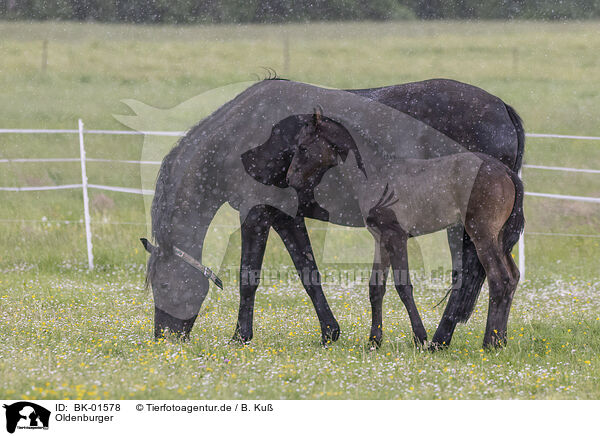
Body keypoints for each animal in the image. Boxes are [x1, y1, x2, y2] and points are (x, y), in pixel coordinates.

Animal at [288, 110, 524, 350]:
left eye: (303, 147)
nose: (290, 179)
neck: (378, 174)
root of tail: (506, 171)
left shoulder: (396, 236)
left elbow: (403, 286)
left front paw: (420, 338)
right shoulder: (380, 238)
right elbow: (376, 287)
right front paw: (374, 341)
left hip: (482, 235)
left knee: (499, 279)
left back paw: (490, 342)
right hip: (498, 237)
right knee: (513, 277)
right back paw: (501, 340)